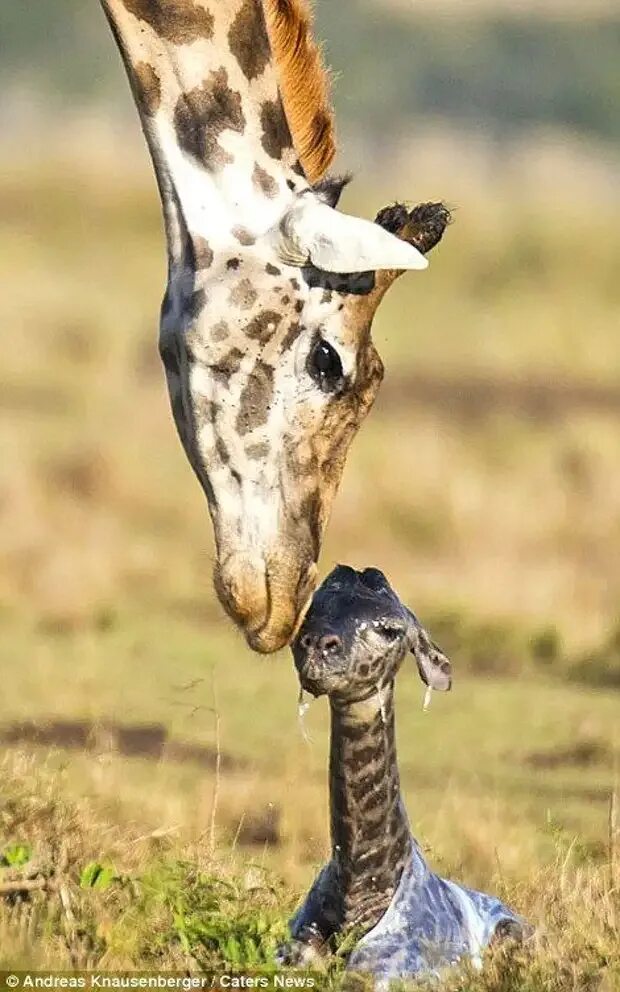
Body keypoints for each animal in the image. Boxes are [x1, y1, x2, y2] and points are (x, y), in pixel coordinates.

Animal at [280, 564, 524, 984]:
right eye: (309, 612)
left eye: (391, 630)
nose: (317, 647)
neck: (358, 885)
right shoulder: (297, 946)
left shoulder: (385, 971)